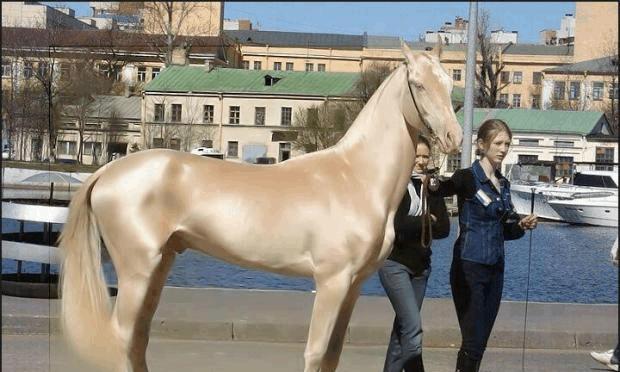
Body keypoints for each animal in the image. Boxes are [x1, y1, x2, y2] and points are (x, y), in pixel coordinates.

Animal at [60, 44, 462, 372]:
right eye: (418, 84)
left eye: (449, 82)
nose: (454, 138)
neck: (355, 176)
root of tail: (108, 171)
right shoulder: (332, 281)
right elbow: (315, 354)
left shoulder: (353, 286)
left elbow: (331, 357)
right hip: (137, 270)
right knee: (122, 339)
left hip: (159, 266)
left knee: (138, 340)